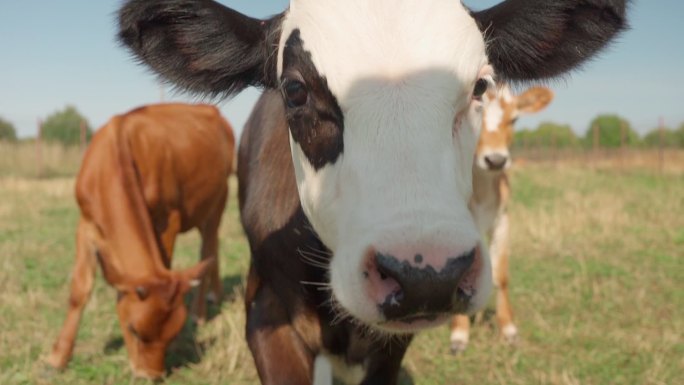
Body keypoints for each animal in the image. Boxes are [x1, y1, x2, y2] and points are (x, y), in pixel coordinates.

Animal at [46, 103, 235, 378]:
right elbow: (80, 290)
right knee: (214, 250)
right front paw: (57, 358)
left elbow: (165, 264)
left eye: (172, 335)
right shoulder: (86, 223)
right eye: (134, 330)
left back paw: (199, 313)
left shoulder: (168, 217)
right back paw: (215, 294)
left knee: (208, 247)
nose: (151, 376)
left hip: (219, 197)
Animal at [448, 85, 556, 352]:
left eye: (514, 119)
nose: (496, 160)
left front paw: (508, 329)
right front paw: (459, 334)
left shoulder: (503, 219)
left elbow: (502, 275)